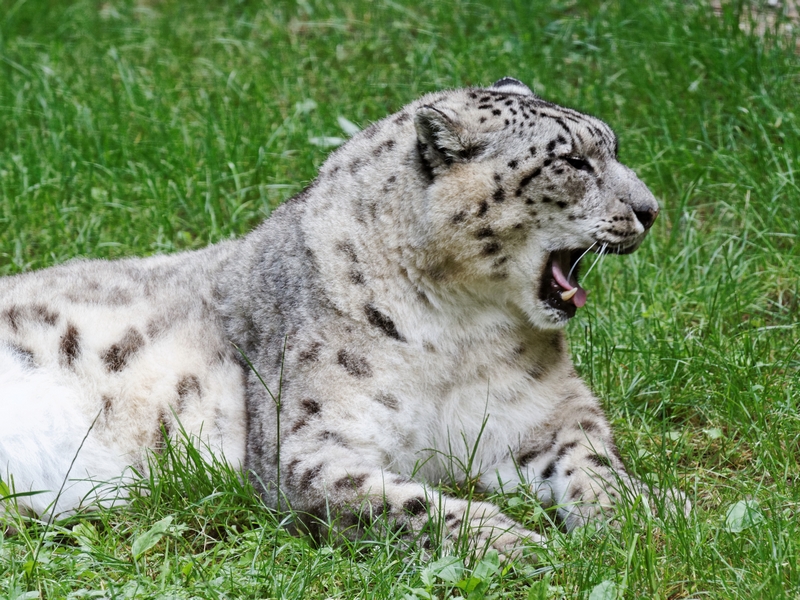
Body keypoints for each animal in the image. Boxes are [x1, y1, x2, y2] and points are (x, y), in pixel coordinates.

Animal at [0, 78, 688, 556]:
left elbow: (595, 463)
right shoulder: (311, 448)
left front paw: (645, 516)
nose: (651, 209)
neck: (460, 338)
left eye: (612, 149)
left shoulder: (545, 414)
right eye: (572, 162)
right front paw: (518, 543)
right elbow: (408, 505)